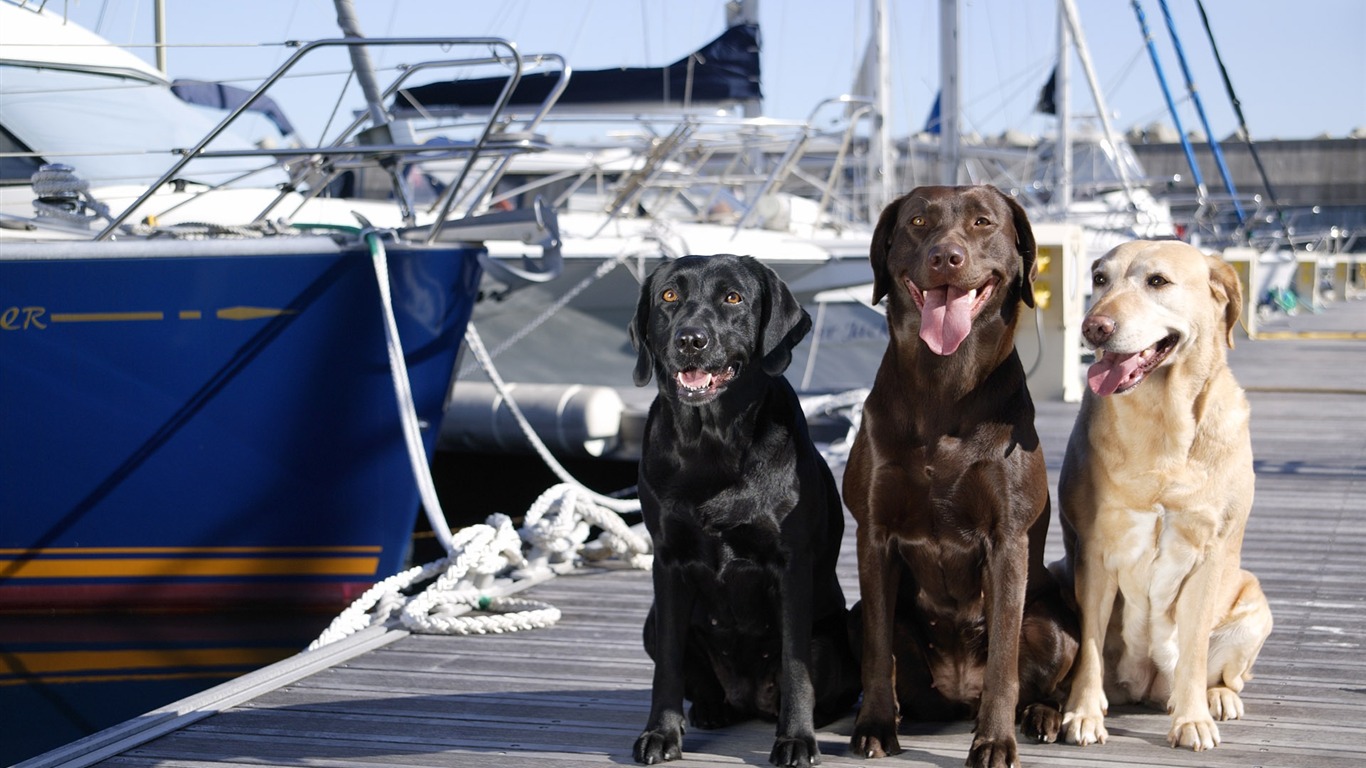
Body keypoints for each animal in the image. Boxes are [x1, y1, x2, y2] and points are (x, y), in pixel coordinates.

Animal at [625, 252, 852, 765]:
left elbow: (795, 664)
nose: (691, 339)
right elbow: (668, 664)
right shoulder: (668, 562)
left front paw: (796, 738)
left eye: (733, 297)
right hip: (649, 621)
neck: (712, 445)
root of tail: (748, 698)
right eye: (669, 295)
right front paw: (661, 733)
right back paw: (712, 709)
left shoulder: (791, 564)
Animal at [1054, 237, 1267, 748]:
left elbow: (1193, 652)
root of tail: (1146, 684)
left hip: (1255, 606)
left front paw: (1192, 720)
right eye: (1099, 279)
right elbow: (1090, 648)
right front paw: (1083, 714)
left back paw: (1217, 699)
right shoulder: (1095, 553)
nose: (1095, 327)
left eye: (1158, 281)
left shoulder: (1208, 554)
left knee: (1224, 675)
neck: (1162, 424)